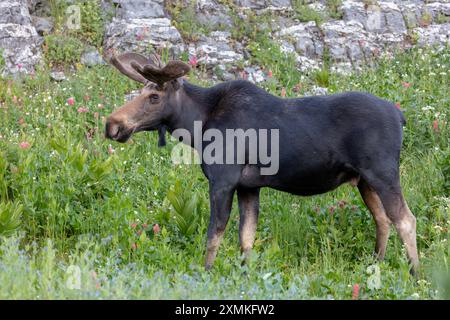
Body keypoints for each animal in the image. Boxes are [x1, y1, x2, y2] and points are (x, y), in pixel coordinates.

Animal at [104, 52, 418, 276]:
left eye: (154, 96)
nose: (112, 125)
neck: (197, 124)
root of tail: (401, 117)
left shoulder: (223, 180)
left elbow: (214, 234)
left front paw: (206, 274)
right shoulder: (248, 187)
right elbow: (246, 239)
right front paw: (245, 276)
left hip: (383, 173)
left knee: (405, 219)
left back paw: (415, 275)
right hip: (364, 180)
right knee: (383, 220)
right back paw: (375, 266)